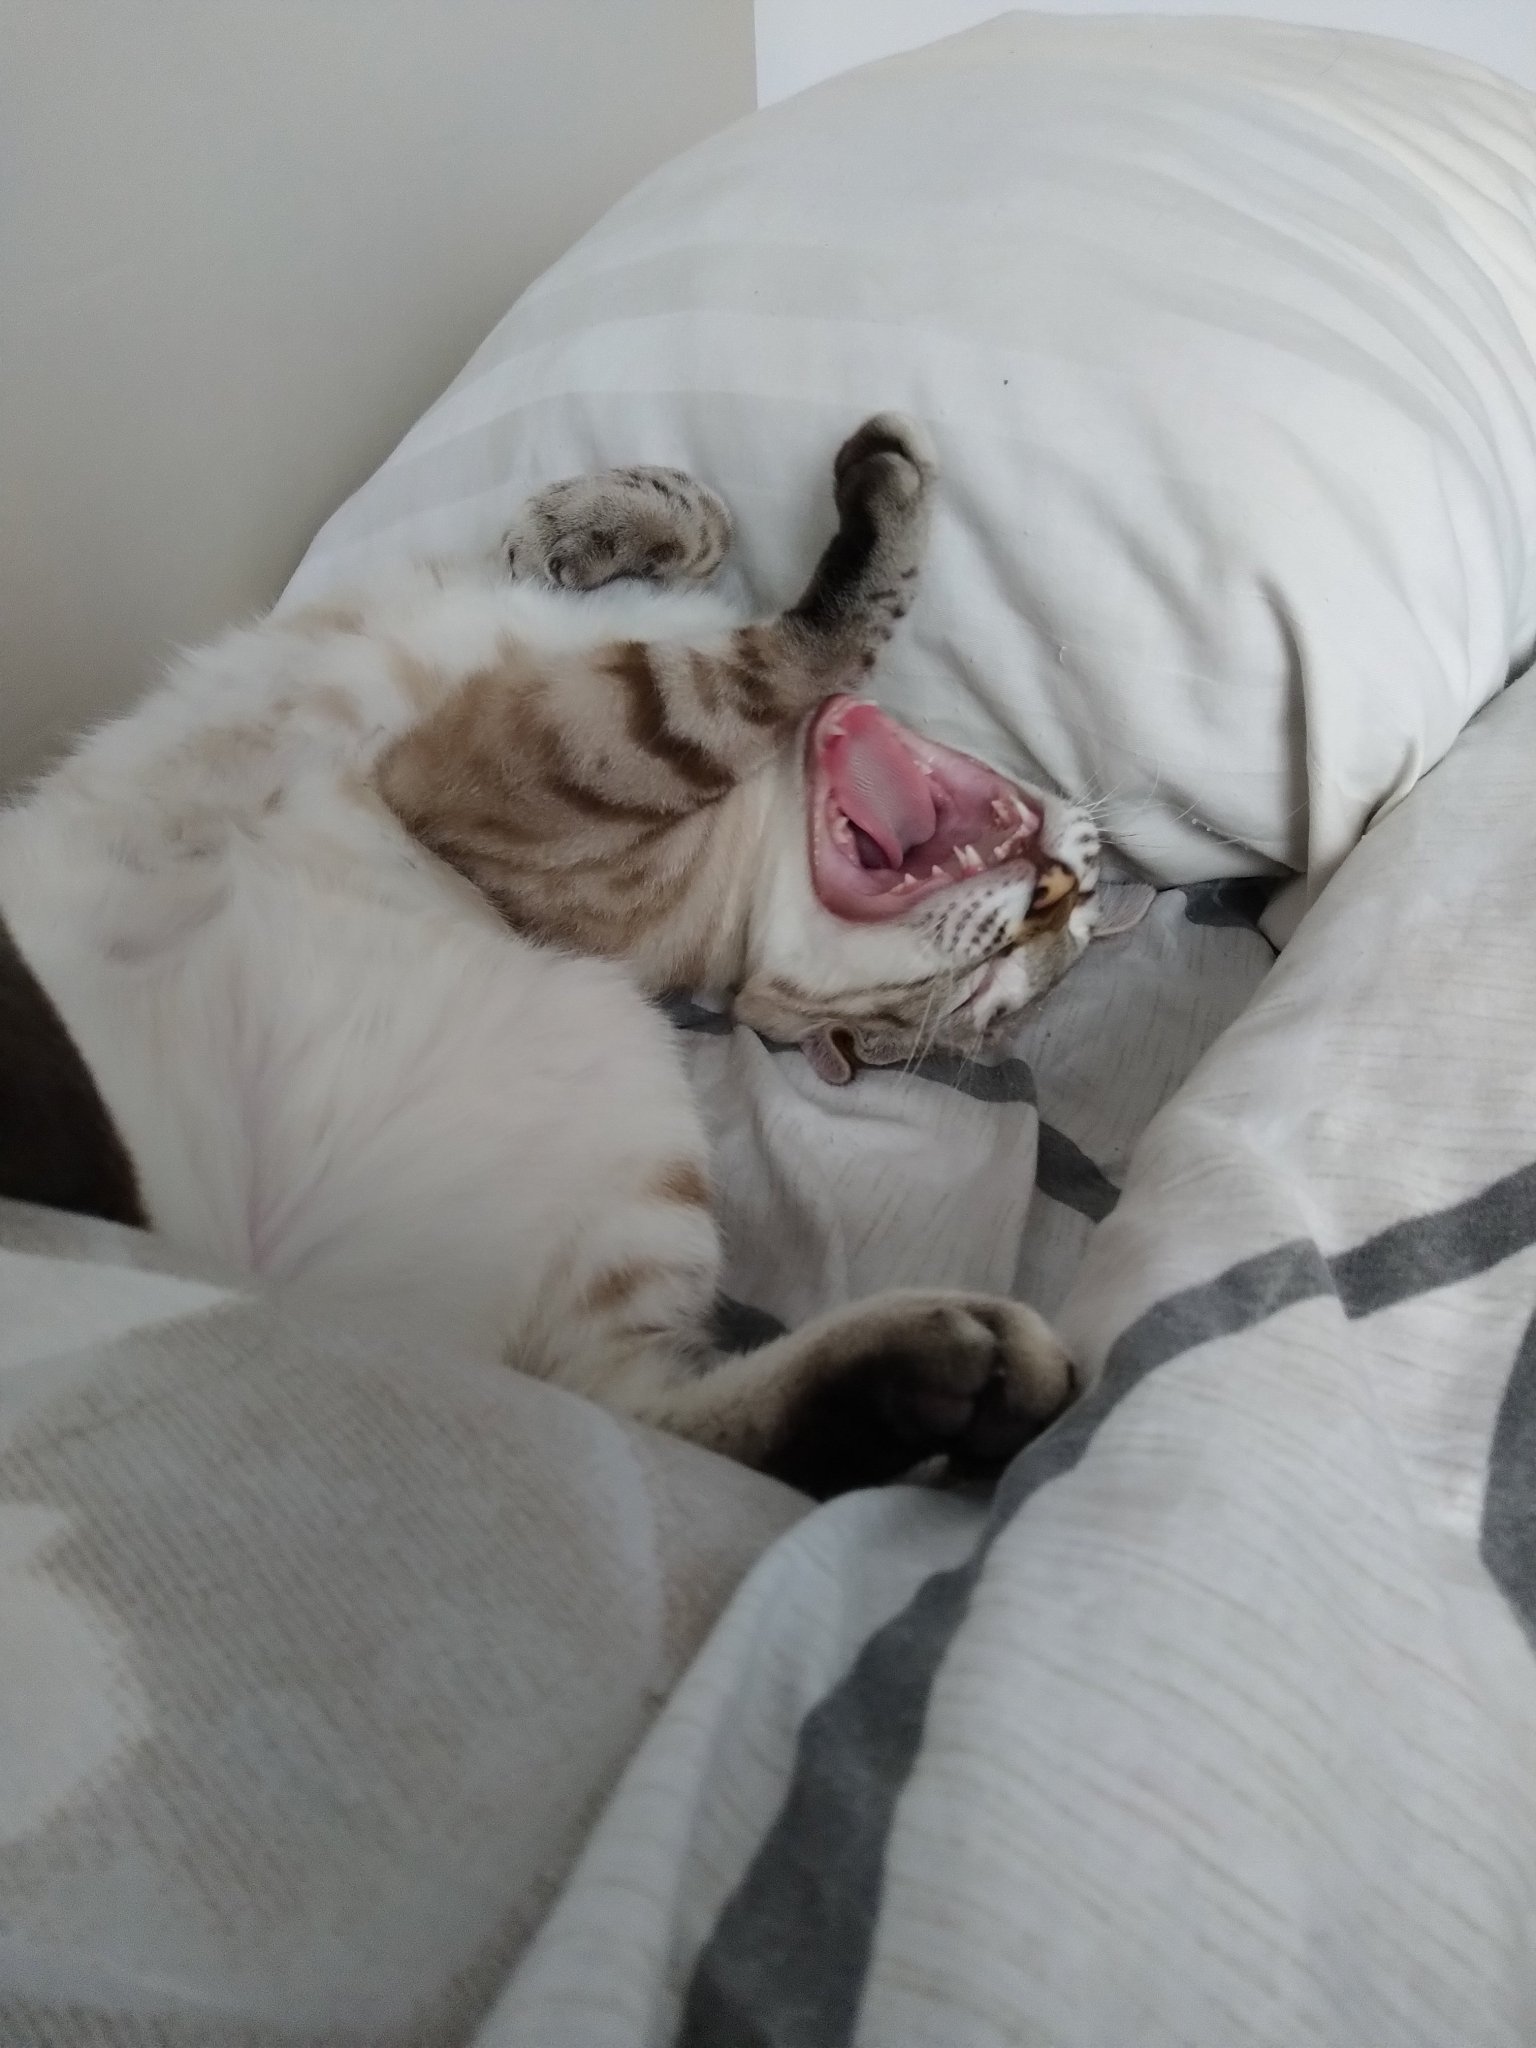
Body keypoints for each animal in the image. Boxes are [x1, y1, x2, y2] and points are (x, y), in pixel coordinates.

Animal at [0, 415, 1107, 1496]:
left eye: (989, 1005)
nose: (1065, 895)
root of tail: (268, 1285)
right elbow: (707, 536)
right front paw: (591, 528)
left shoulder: (522, 768)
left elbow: (751, 668)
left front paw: (878, 506)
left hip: (627, 1090)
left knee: (659, 1426)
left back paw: (962, 1376)